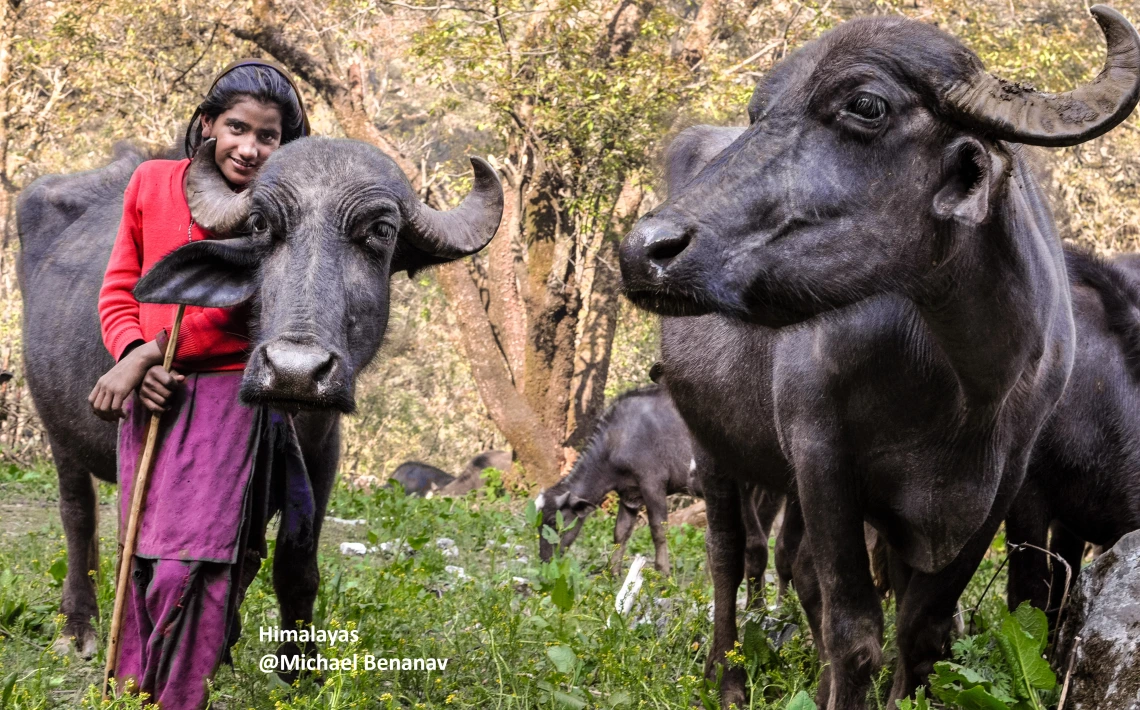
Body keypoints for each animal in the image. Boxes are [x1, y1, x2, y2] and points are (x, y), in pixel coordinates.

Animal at [17, 137, 503, 659]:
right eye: (259, 225)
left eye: (382, 231)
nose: (294, 371)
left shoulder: (323, 455)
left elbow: (295, 563)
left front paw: (298, 662)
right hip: (58, 430)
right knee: (78, 515)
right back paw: (78, 626)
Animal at [620, 7, 1140, 709]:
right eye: (759, 112)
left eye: (866, 105)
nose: (644, 249)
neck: (960, 384)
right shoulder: (823, 459)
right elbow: (857, 632)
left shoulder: (1002, 484)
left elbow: (922, 629)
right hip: (712, 443)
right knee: (731, 554)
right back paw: (725, 678)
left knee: (795, 566)